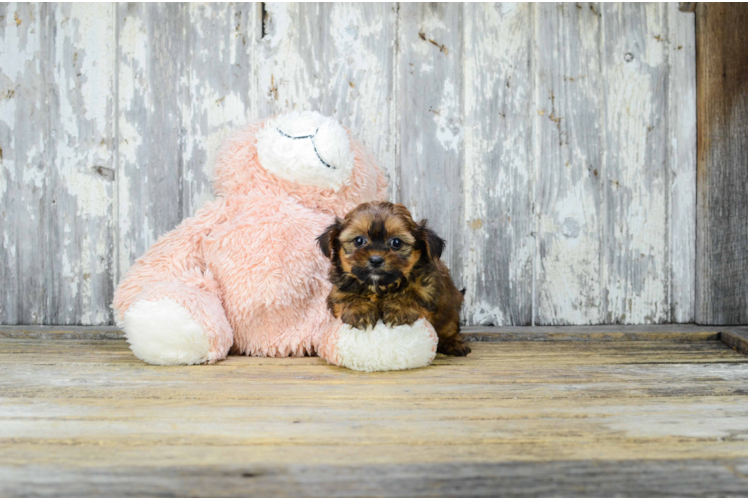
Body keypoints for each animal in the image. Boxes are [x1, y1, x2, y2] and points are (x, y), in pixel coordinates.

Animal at [318, 202, 470, 356]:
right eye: (359, 240)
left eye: (396, 242)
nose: (376, 260)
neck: (378, 285)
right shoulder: (339, 291)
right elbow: (349, 297)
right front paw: (360, 311)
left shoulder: (427, 289)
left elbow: (411, 294)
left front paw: (399, 309)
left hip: (450, 311)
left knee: (449, 328)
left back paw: (453, 343)